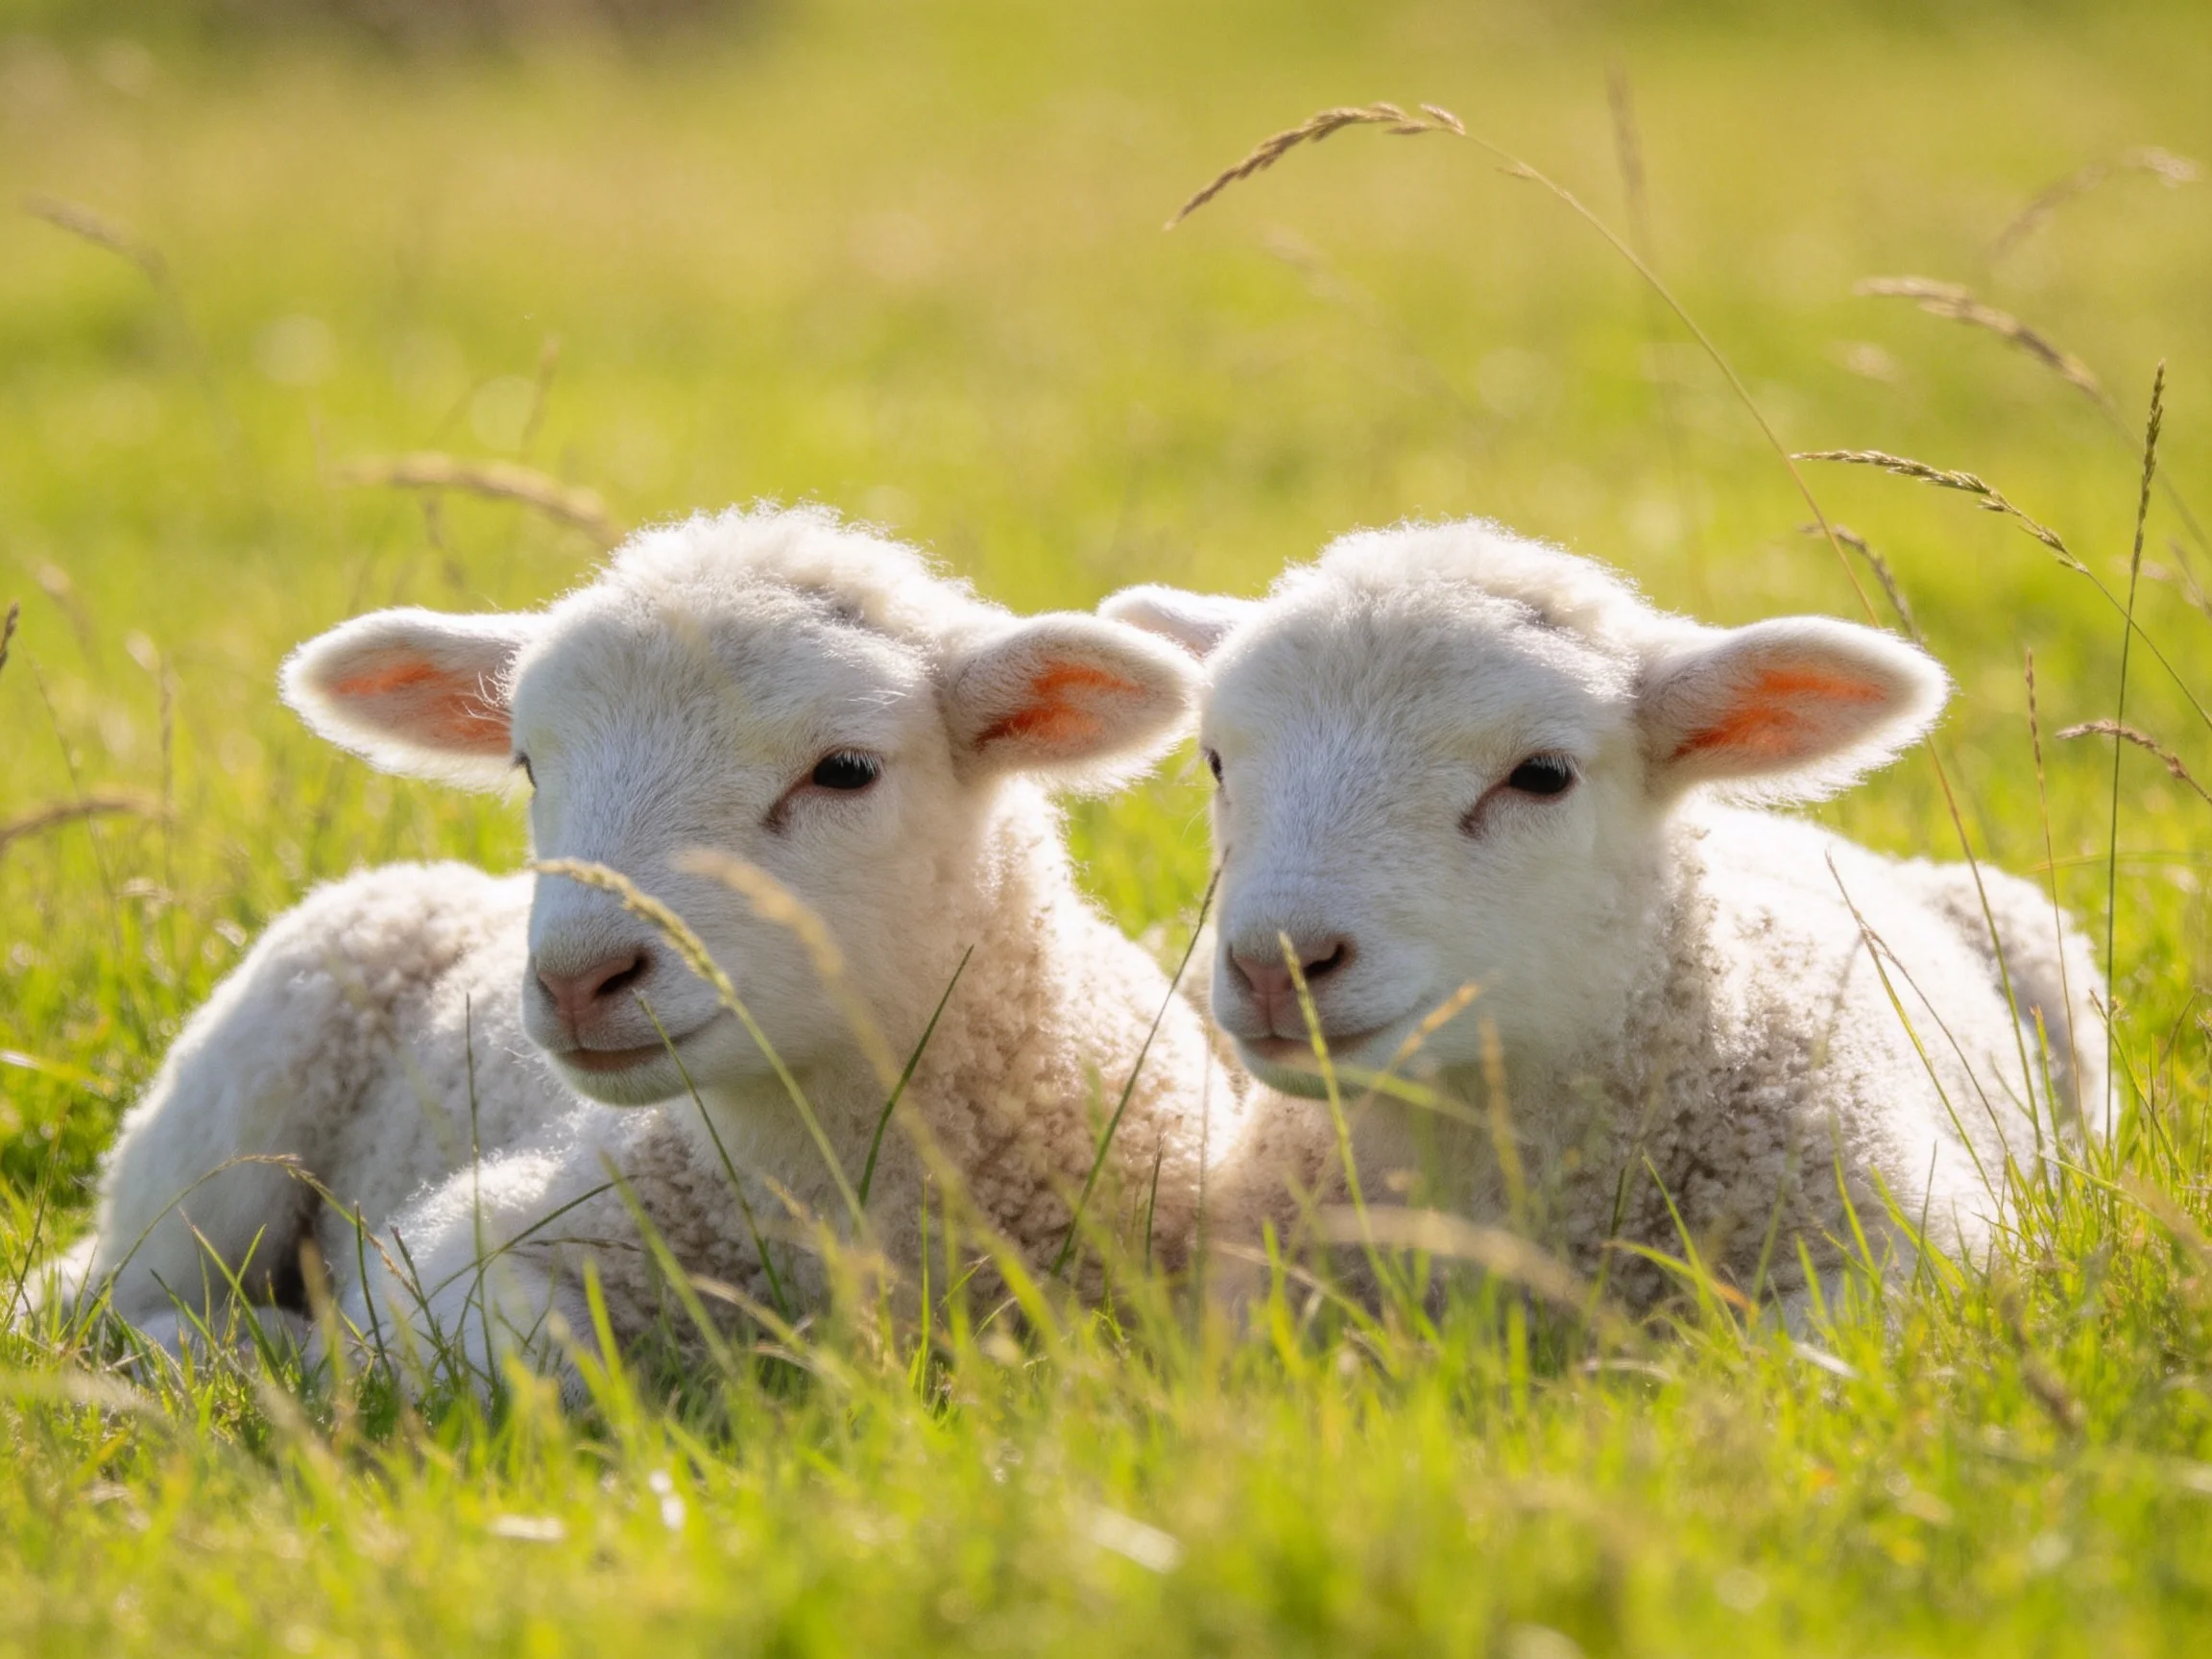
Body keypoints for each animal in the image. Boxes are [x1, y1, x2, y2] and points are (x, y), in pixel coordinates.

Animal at [55, 504, 1255, 1388]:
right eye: (529, 764)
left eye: (846, 770)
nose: (578, 977)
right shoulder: (467, 1239)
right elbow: (530, 1365)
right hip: (219, 1134)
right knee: (101, 1296)